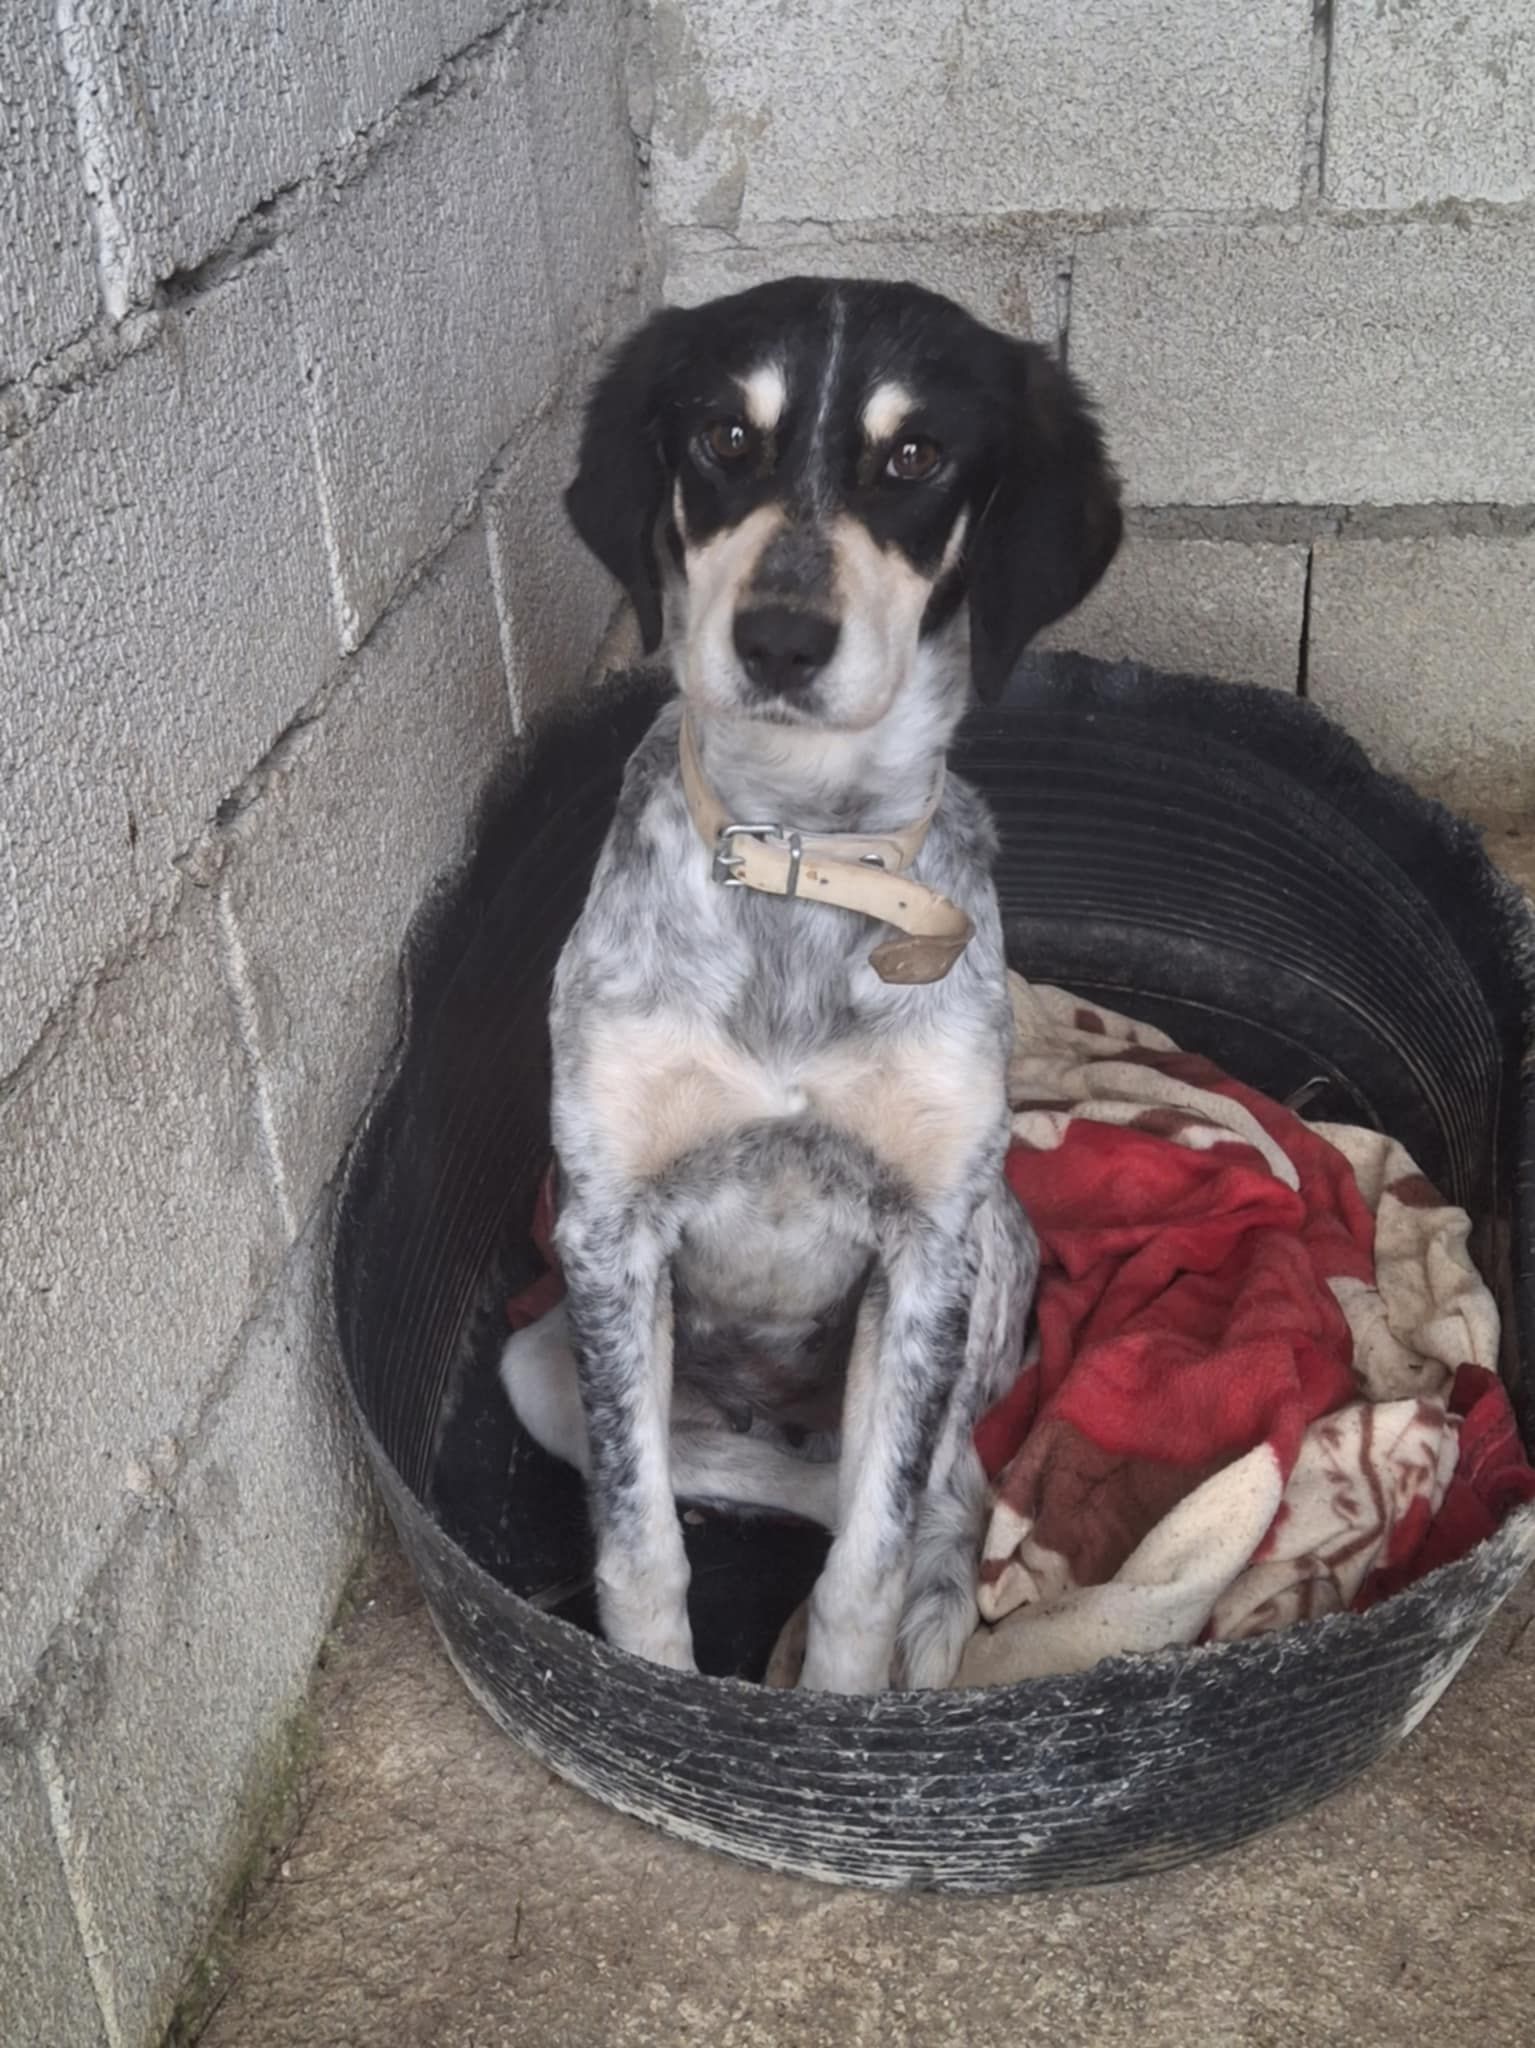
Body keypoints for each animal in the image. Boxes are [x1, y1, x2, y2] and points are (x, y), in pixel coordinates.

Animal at [500, 276, 1121, 1693]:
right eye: (726, 437)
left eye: (915, 456)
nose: (779, 638)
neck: (797, 855)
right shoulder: (606, 1231)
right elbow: (639, 1544)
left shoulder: (927, 1245)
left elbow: (869, 1564)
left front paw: (839, 1704)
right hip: (536, 1361)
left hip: (986, 1263)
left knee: (937, 1489)